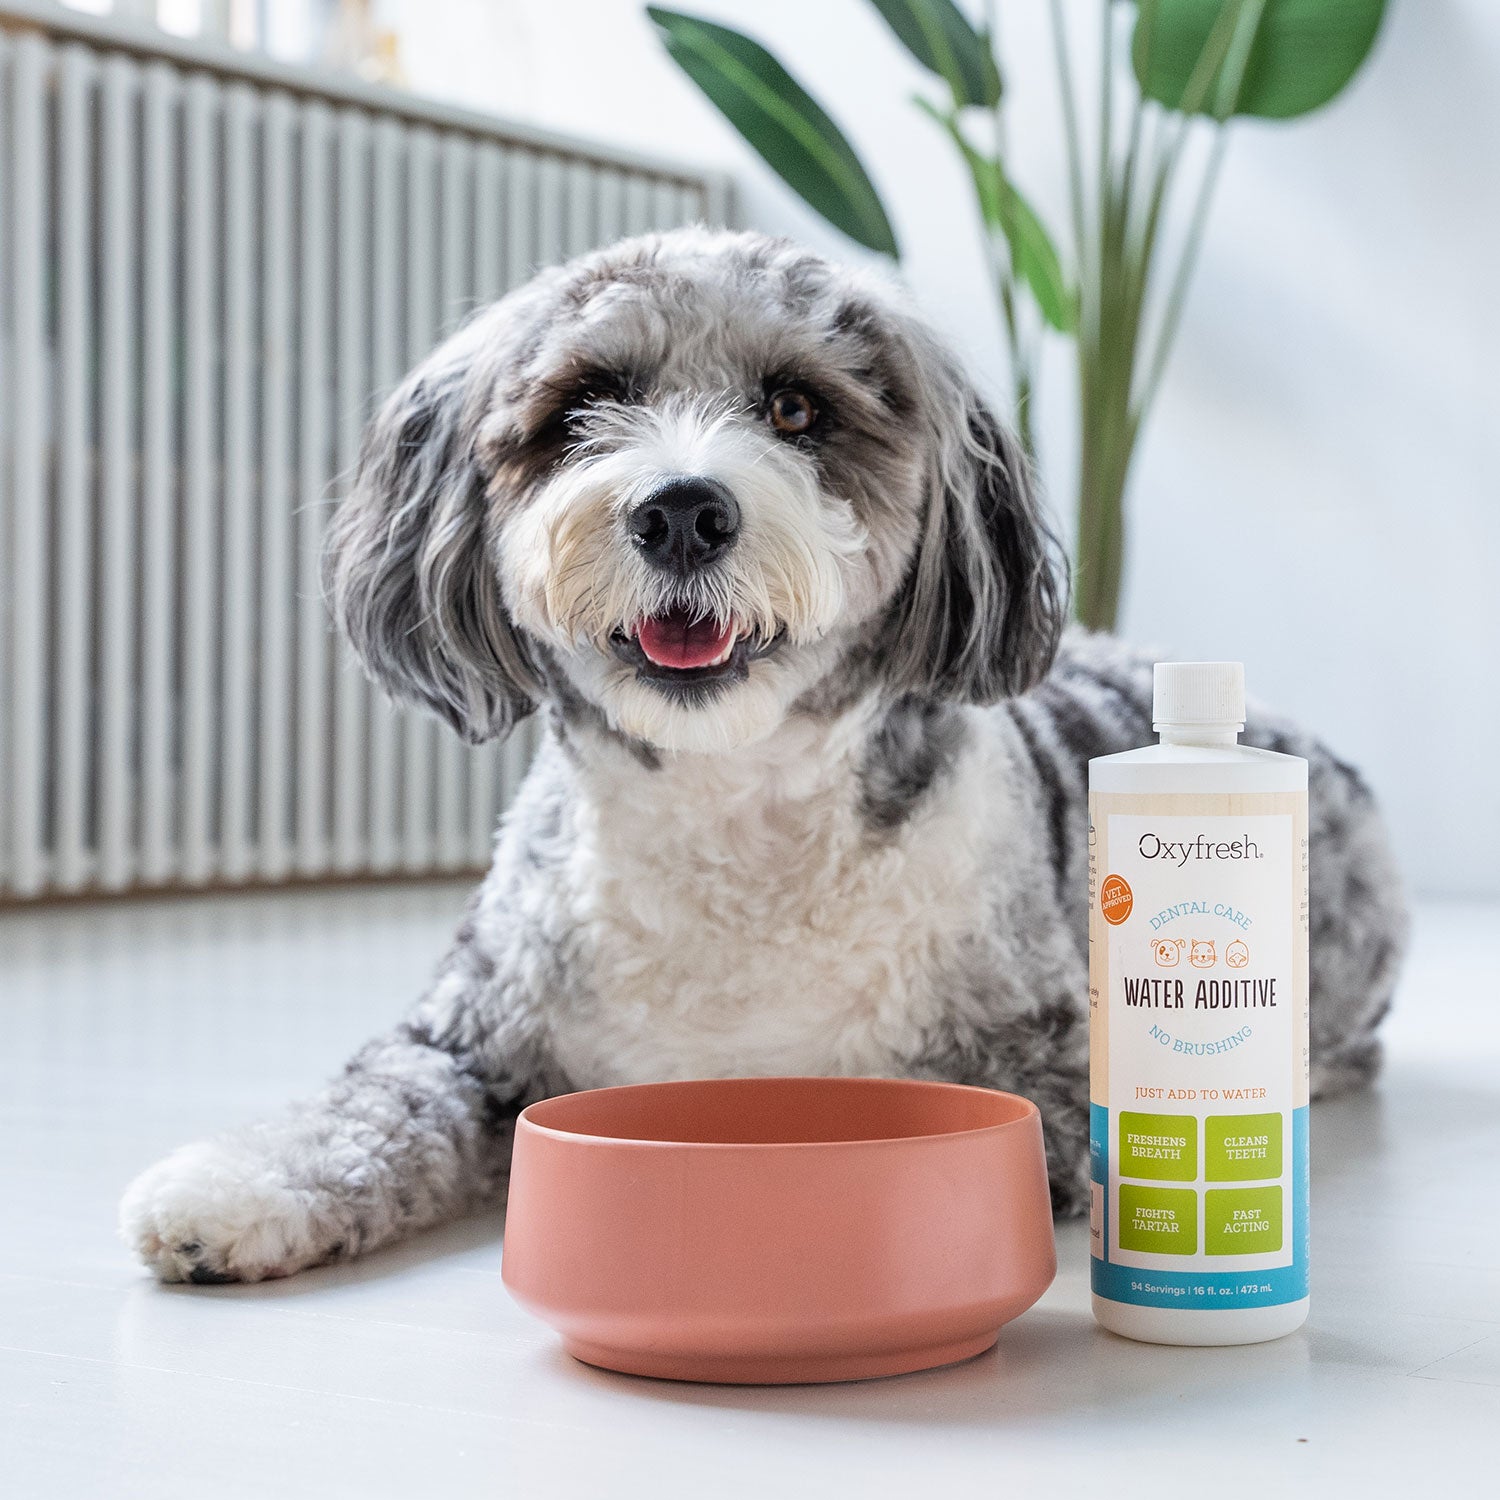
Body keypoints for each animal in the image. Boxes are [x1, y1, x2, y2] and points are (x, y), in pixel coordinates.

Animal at [120, 228, 1404, 1284]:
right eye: (587, 403)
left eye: (794, 409)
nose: (682, 511)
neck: (730, 819)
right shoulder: (470, 1036)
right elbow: (373, 1106)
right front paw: (230, 1191)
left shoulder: (1035, 1057)